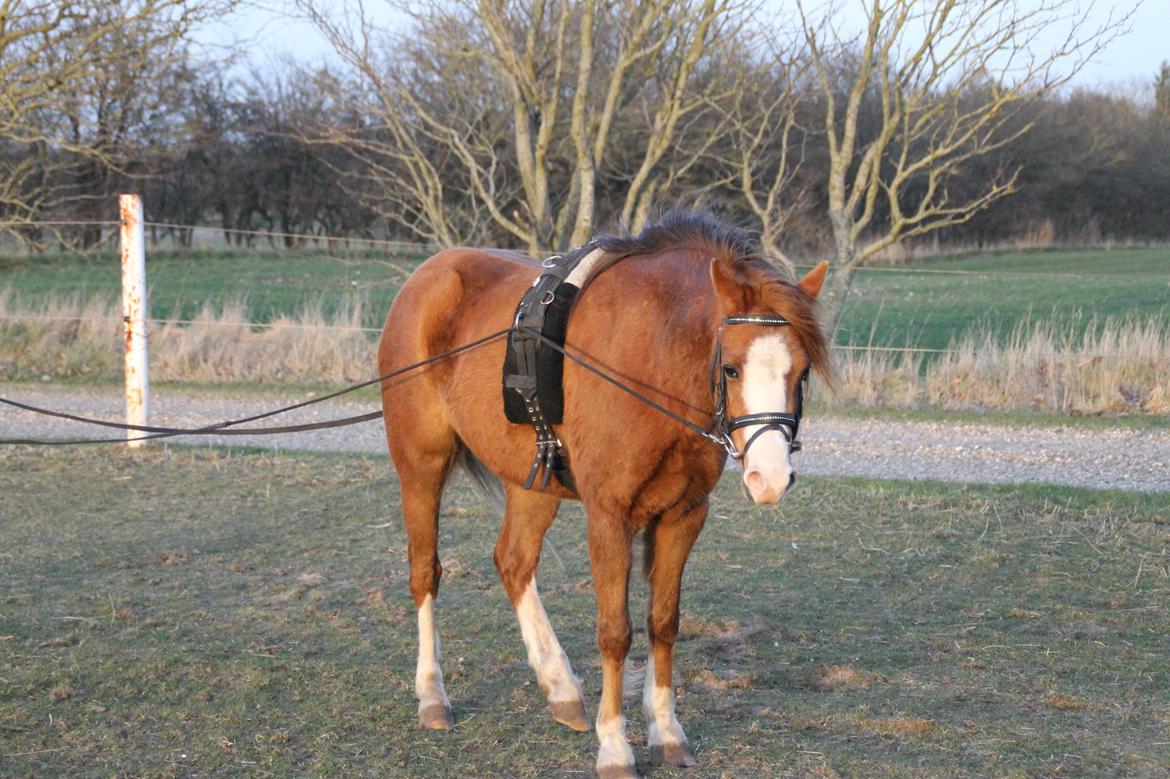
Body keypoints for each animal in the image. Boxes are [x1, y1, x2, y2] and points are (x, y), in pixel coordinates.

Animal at [378, 212, 830, 778]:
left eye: (802, 371)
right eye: (731, 368)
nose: (770, 478)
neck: (654, 358)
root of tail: (428, 274)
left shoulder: (684, 515)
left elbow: (664, 623)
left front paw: (667, 731)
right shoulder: (609, 516)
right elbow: (616, 632)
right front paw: (614, 744)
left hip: (534, 483)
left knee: (513, 561)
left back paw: (560, 686)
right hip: (422, 466)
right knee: (425, 572)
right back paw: (432, 695)